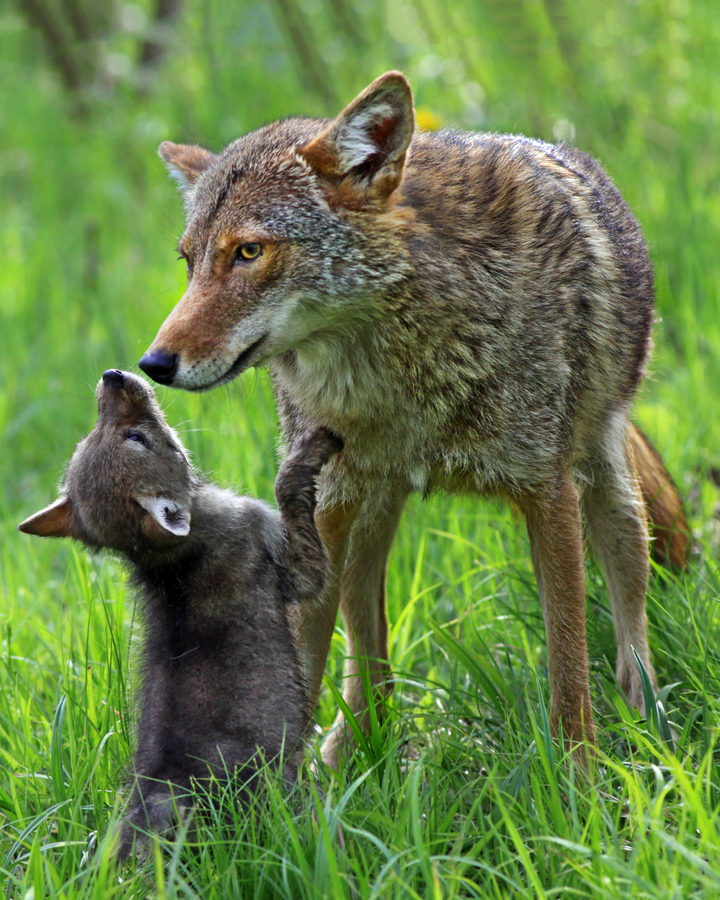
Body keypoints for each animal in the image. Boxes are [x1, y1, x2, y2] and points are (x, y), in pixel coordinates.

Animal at [18, 369, 342, 857]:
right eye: (138, 438)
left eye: (89, 437)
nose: (112, 376)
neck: (168, 561)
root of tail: (160, 795)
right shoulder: (295, 567)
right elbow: (290, 493)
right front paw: (309, 453)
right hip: (294, 794)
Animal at [137, 71, 689, 765]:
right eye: (189, 262)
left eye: (247, 252)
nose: (153, 363)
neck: (401, 383)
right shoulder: (320, 508)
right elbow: (299, 662)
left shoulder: (548, 491)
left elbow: (568, 668)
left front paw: (577, 779)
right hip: (362, 514)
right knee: (367, 667)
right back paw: (345, 758)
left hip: (608, 489)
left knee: (629, 611)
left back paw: (647, 719)